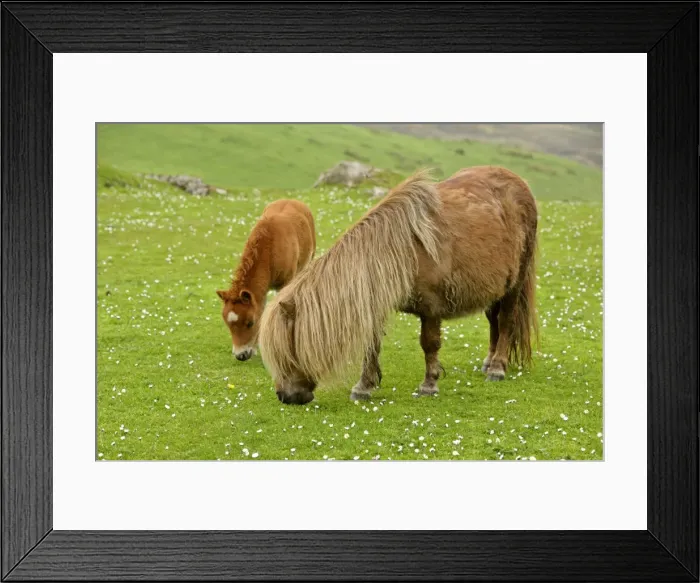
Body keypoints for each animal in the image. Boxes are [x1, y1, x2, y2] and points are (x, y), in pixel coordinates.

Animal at [217, 199, 315, 361]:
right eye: (227, 324)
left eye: (250, 323)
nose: (241, 355)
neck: (270, 248)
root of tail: (292, 200)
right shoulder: (260, 292)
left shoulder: (285, 282)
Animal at [258, 166, 538, 405]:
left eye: (287, 352)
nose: (285, 397)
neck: (401, 250)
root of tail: (519, 183)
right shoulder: (375, 304)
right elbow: (371, 346)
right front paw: (364, 387)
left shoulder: (431, 309)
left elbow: (429, 344)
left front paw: (429, 385)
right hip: (495, 288)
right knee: (493, 321)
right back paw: (488, 361)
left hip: (514, 285)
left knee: (506, 322)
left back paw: (497, 368)